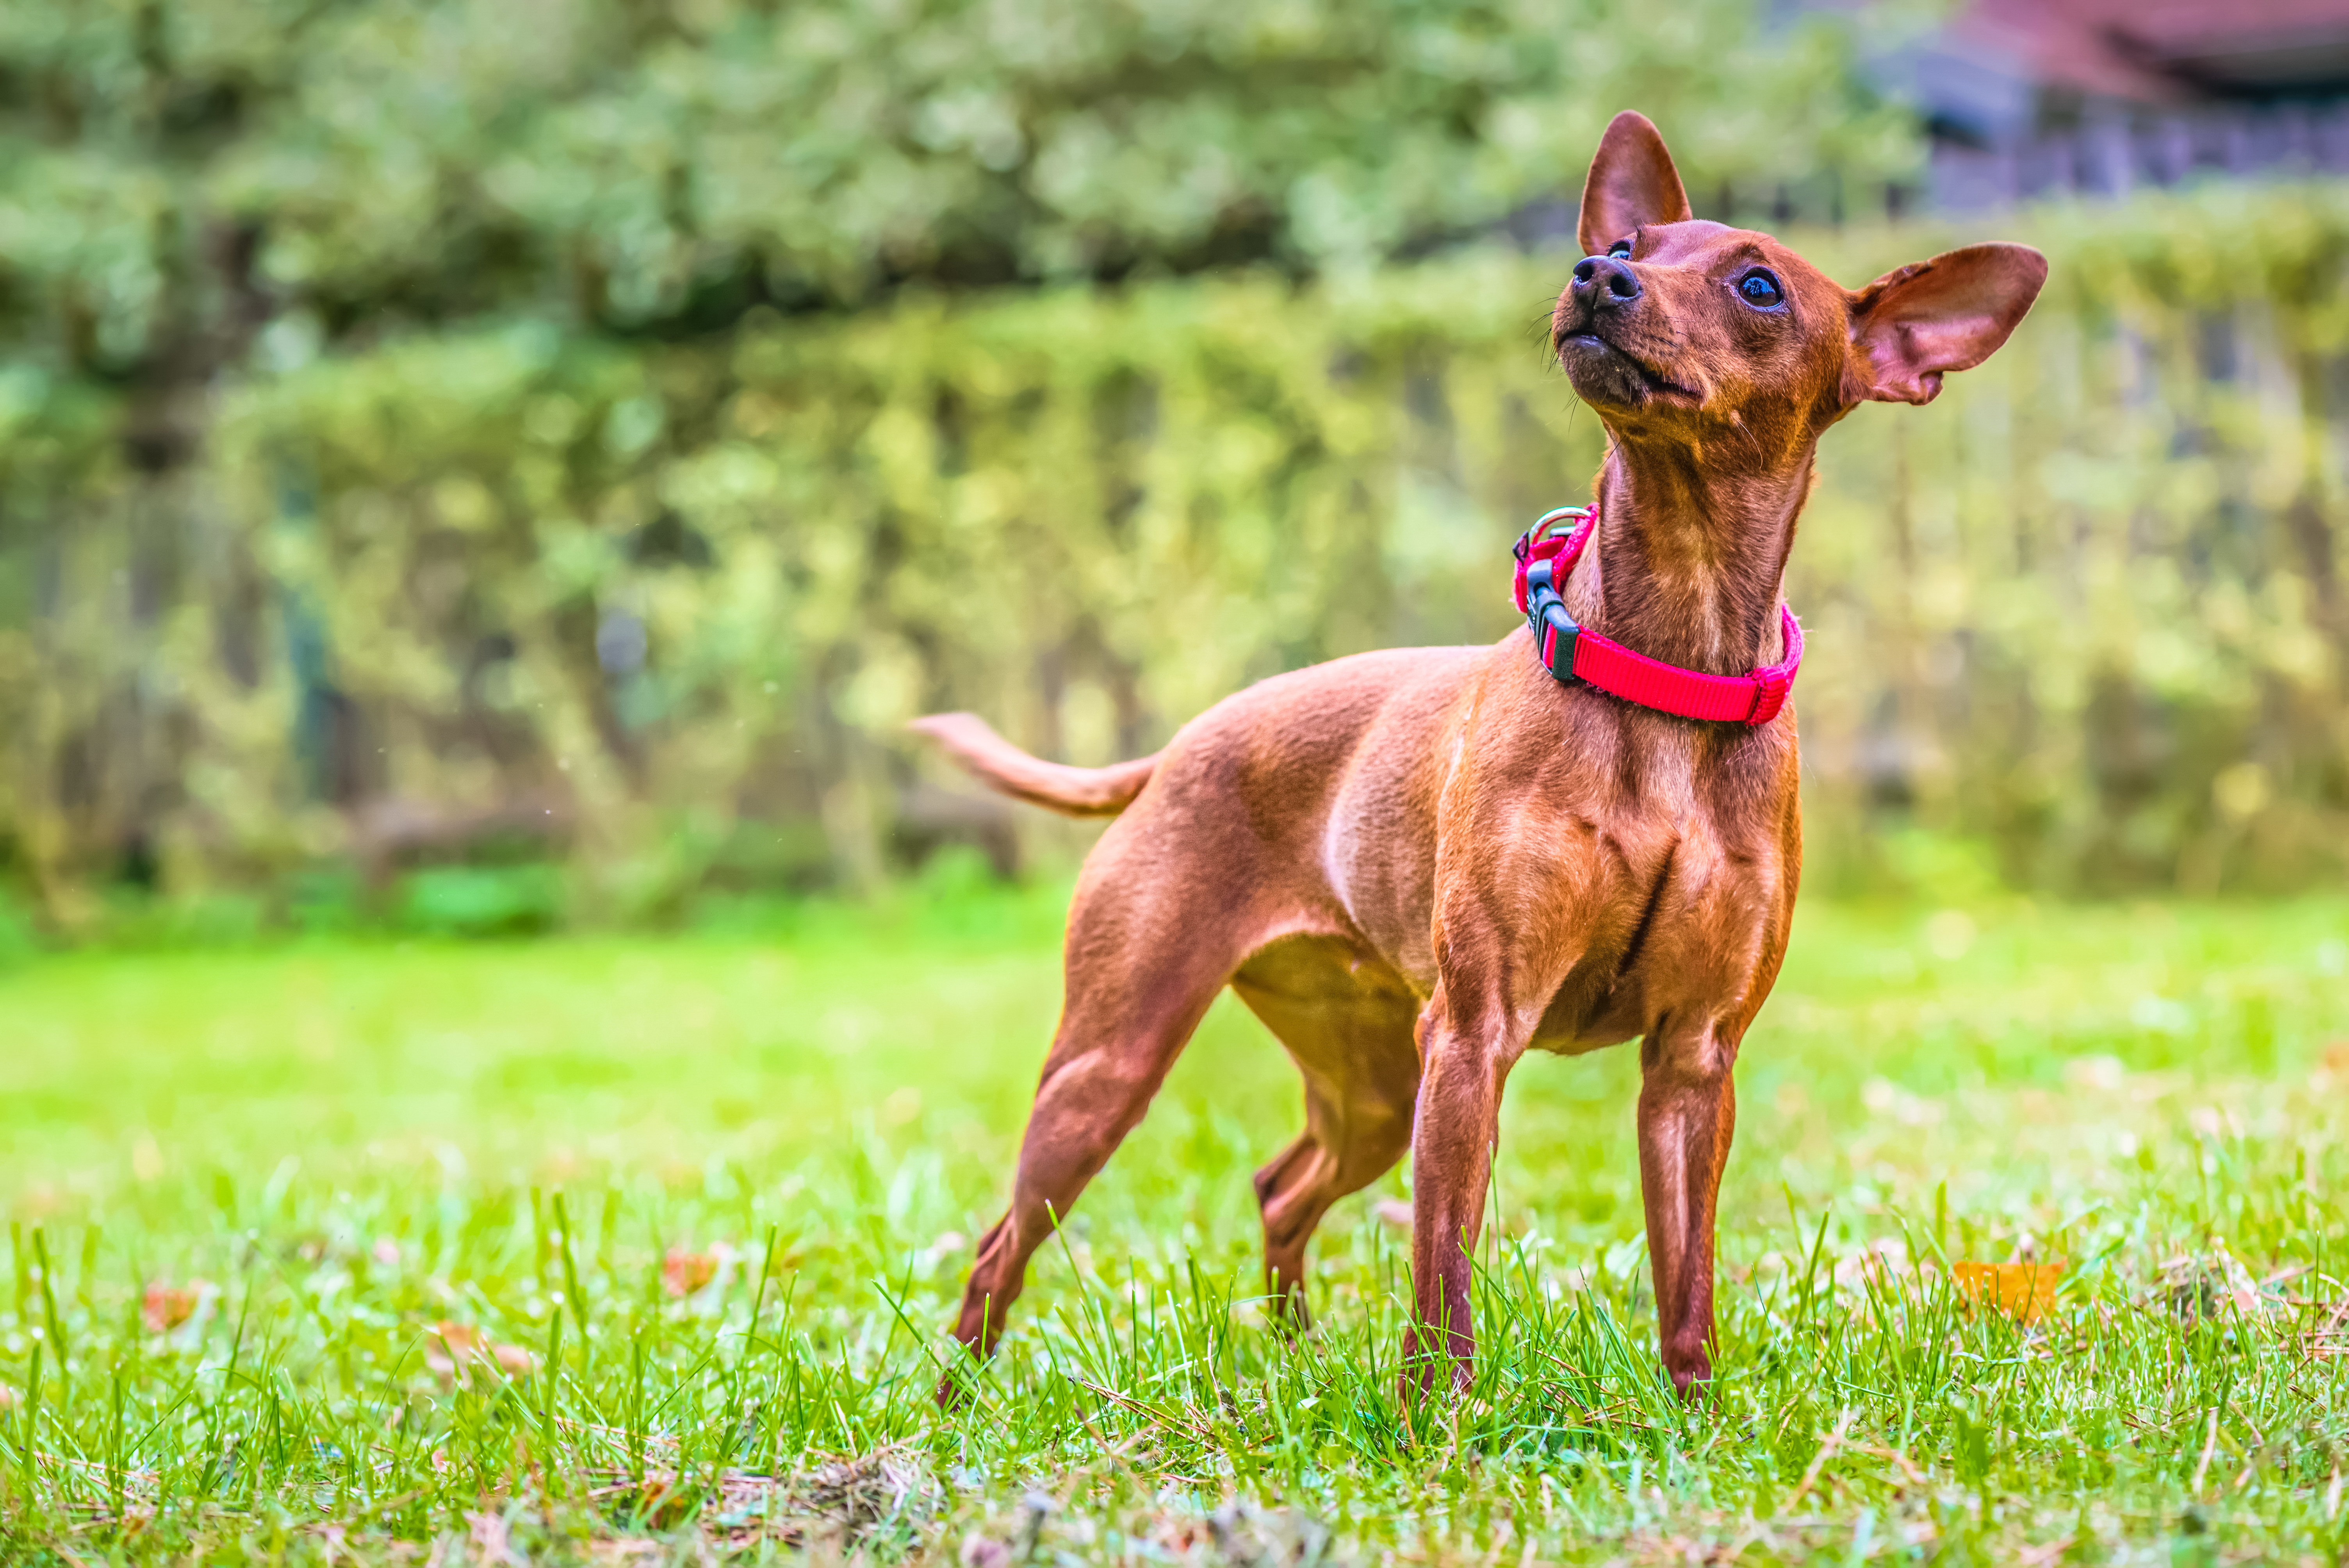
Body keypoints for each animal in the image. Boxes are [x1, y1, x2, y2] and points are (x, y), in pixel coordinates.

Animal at [911, 116, 2039, 1399]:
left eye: (1757, 285)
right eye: (1626, 247)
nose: (1594, 277)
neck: (1668, 666)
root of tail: (1181, 745)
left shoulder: (1692, 1064)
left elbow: (1686, 1282)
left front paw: (1695, 1415)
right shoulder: (1471, 1035)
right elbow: (1443, 1271)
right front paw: (1436, 1419)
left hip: (1366, 1084)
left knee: (1280, 1186)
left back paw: (1292, 1352)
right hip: (1114, 1065)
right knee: (1002, 1241)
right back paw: (958, 1404)